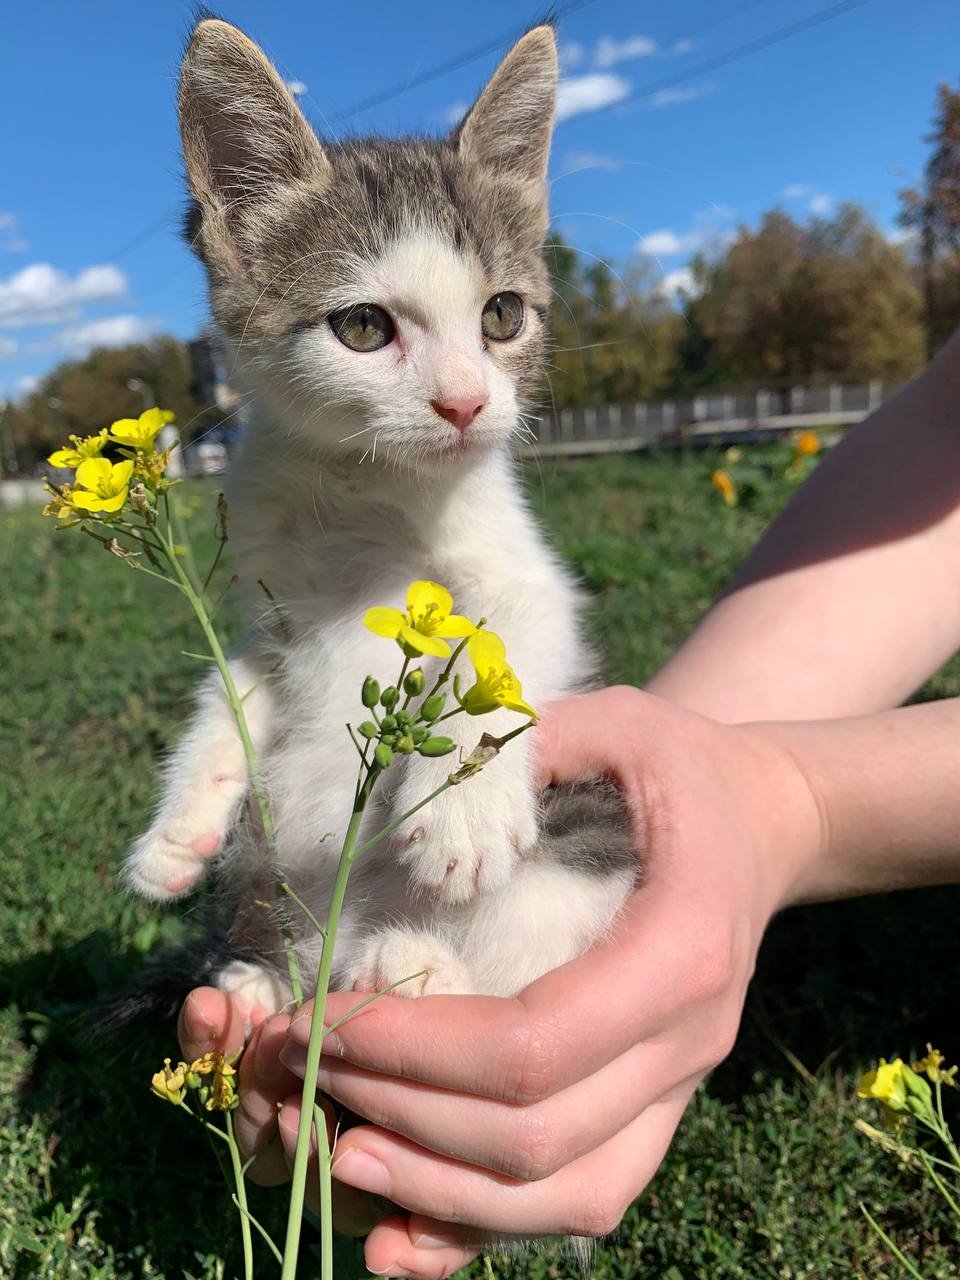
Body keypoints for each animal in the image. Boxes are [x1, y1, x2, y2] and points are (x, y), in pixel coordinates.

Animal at [126, 17, 640, 1018]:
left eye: (503, 316)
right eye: (363, 327)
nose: (466, 403)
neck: (363, 489)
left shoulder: (529, 577)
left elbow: (502, 637)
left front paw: (461, 811)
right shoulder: (274, 610)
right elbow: (232, 682)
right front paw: (180, 822)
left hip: (591, 838)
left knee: (524, 944)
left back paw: (415, 965)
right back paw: (264, 983)